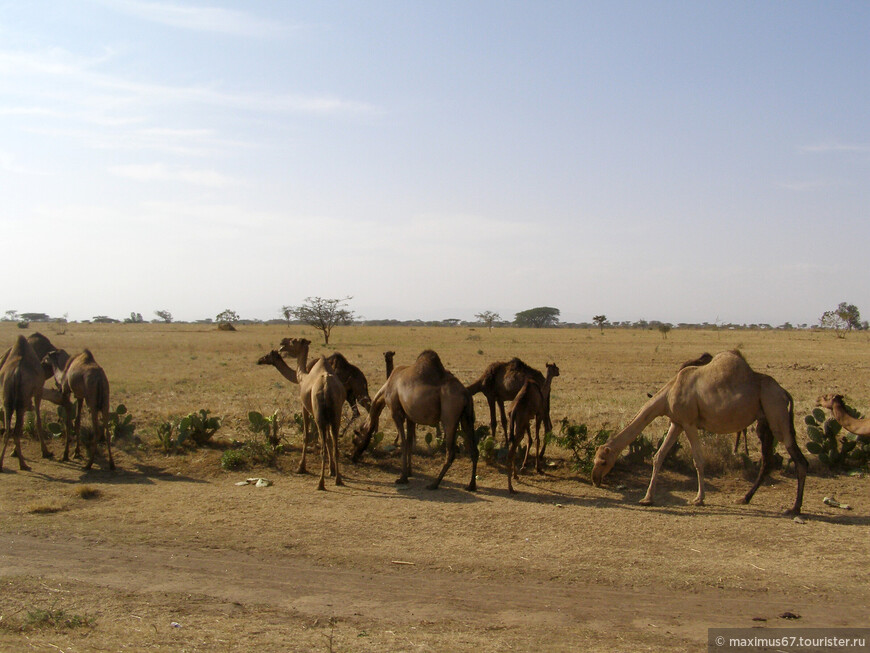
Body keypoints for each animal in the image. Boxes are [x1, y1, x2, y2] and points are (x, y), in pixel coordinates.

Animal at [0, 336, 51, 468]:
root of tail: (16, 373)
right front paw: (46, 452)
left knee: (8, 430)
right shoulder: (38, 391)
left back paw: (2, 463)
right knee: (16, 430)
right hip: (22, 401)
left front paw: (14, 452)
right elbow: (38, 420)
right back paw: (23, 464)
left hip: (7, 399)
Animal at [280, 338, 348, 486]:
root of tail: (327, 387)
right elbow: (328, 441)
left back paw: (320, 483)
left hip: (319, 415)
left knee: (322, 445)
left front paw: (301, 467)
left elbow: (306, 435)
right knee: (334, 444)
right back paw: (338, 479)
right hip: (335, 415)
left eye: (293, 341)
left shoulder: (304, 407)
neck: (302, 377)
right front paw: (332, 470)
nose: (282, 344)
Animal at [352, 348, 480, 492]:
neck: (386, 388)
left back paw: (434, 484)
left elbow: (403, 442)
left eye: (355, 440)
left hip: (449, 418)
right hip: (467, 417)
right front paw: (409, 472)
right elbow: (409, 442)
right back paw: (471, 485)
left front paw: (402, 477)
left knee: (451, 452)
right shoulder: (410, 417)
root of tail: (465, 394)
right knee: (474, 450)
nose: (353, 457)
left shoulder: (396, 412)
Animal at [592, 348, 812, 512]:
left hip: (776, 412)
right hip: (764, 421)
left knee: (799, 460)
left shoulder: (689, 423)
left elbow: (698, 460)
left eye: (603, 461)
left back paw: (794, 508)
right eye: (595, 459)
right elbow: (658, 456)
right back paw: (745, 498)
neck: (668, 393)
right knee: (767, 461)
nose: (595, 479)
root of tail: (784, 393)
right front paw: (647, 498)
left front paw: (699, 499)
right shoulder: (677, 423)